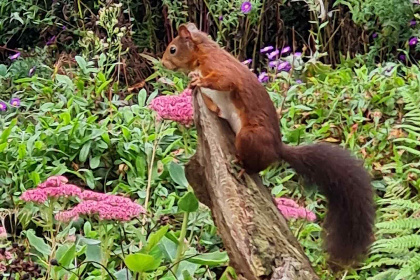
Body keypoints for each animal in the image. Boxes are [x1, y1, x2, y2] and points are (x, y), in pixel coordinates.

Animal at [162, 23, 376, 266]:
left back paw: (242, 166)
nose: (163, 63)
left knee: (256, 165)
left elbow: (225, 80)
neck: (202, 51)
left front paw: (198, 80)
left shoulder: (218, 66)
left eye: (172, 49)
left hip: (249, 136)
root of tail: (277, 148)